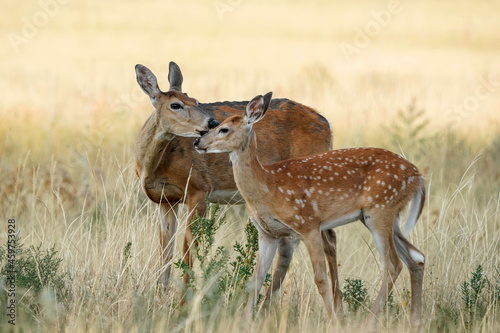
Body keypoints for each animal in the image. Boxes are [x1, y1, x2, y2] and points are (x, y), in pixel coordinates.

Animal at [133, 63, 340, 308]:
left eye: (195, 100)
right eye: (176, 104)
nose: (212, 123)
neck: (154, 166)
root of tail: (327, 124)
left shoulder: (198, 188)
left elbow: (188, 250)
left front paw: (182, 304)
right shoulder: (165, 200)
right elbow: (165, 252)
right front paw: (160, 299)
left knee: (326, 239)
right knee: (292, 243)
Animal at [194, 92, 426, 328]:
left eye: (223, 129)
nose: (197, 141)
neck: (267, 185)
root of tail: (417, 176)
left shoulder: (308, 223)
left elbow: (320, 278)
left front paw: (333, 322)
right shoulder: (267, 233)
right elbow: (256, 278)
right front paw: (246, 321)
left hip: (381, 210)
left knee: (393, 264)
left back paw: (370, 321)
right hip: (385, 216)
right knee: (416, 258)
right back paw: (415, 320)